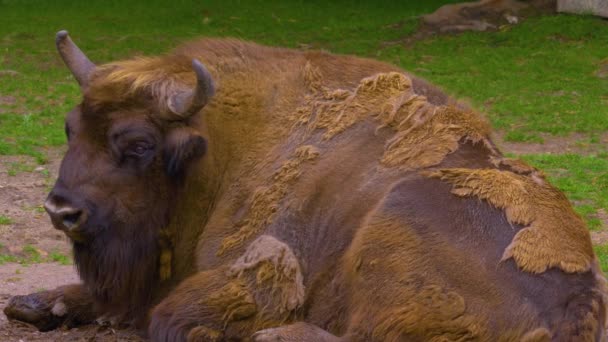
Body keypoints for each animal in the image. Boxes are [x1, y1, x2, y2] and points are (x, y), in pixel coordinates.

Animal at [2, 30, 604, 340]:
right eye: (70, 128)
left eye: (139, 143)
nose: (61, 211)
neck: (216, 148)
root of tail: (577, 302)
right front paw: (39, 305)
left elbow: (167, 316)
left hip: (393, 222)